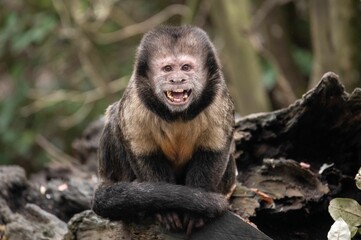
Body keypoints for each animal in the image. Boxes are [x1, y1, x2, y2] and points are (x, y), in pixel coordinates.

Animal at [91, 25, 235, 236]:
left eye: (186, 67)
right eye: (167, 69)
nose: (177, 79)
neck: (177, 115)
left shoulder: (218, 98)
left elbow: (214, 151)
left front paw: (196, 211)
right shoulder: (136, 100)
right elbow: (143, 153)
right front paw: (166, 209)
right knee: (114, 117)